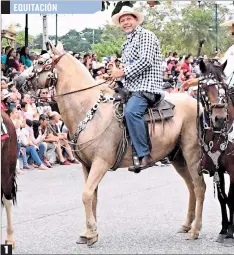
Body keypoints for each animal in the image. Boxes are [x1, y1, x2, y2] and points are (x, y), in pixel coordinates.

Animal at [33, 43, 206, 247]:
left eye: (41, 62)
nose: (20, 81)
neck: (89, 109)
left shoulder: (101, 163)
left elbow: (86, 195)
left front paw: (91, 233)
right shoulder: (87, 166)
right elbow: (92, 197)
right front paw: (89, 232)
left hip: (192, 153)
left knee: (199, 187)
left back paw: (195, 230)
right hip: (177, 157)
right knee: (191, 186)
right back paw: (187, 224)